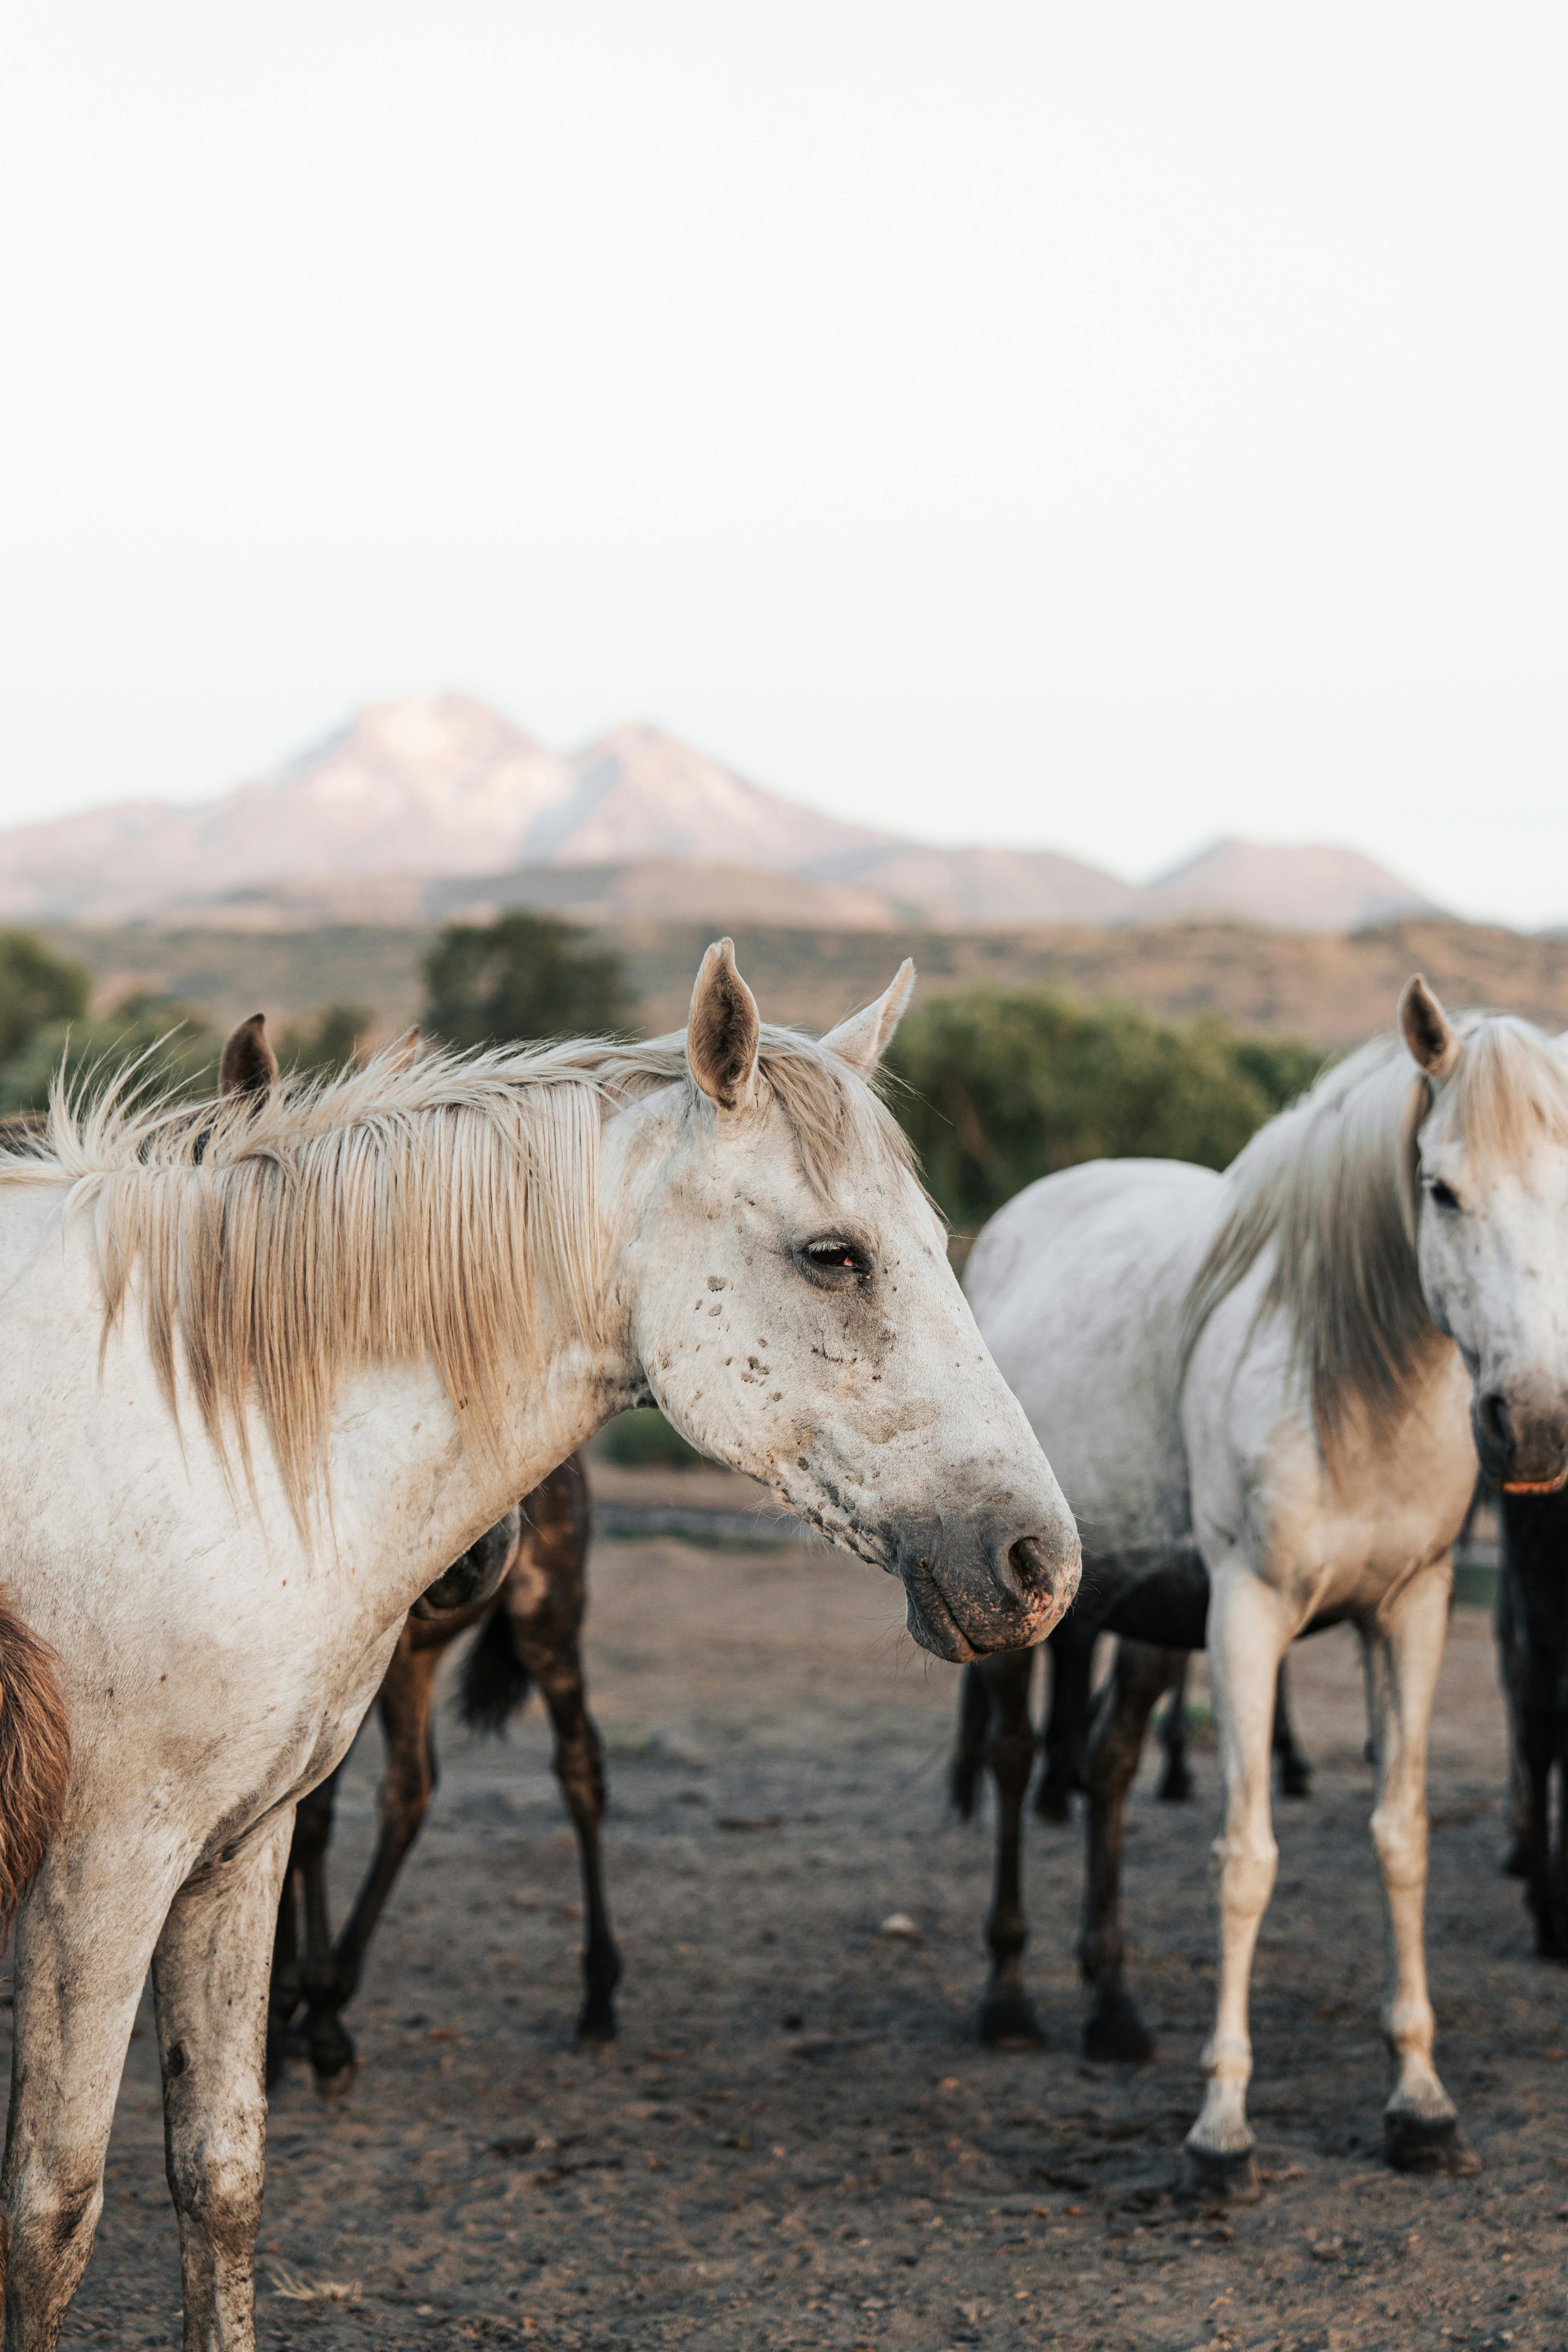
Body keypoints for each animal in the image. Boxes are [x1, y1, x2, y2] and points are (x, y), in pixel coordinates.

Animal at [0, 941, 1081, 2352]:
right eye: (833, 1255)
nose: (1039, 1563)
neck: (202, 1424)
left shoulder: (231, 1851)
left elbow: (219, 2174)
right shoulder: (100, 1871)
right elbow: (52, 2217)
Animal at [964, 978, 1568, 2201]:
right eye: (1440, 1188)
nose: (1530, 1424)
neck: (1352, 1381)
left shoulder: (1411, 1613)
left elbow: (1400, 1839)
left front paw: (1419, 2105)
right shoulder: (1248, 1613)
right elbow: (1245, 1860)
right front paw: (1221, 2129)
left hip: (1150, 1613)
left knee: (1107, 1768)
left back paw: (1112, 2007)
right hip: (1030, 1614)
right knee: (1012, 1762)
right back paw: (1007, 2000)